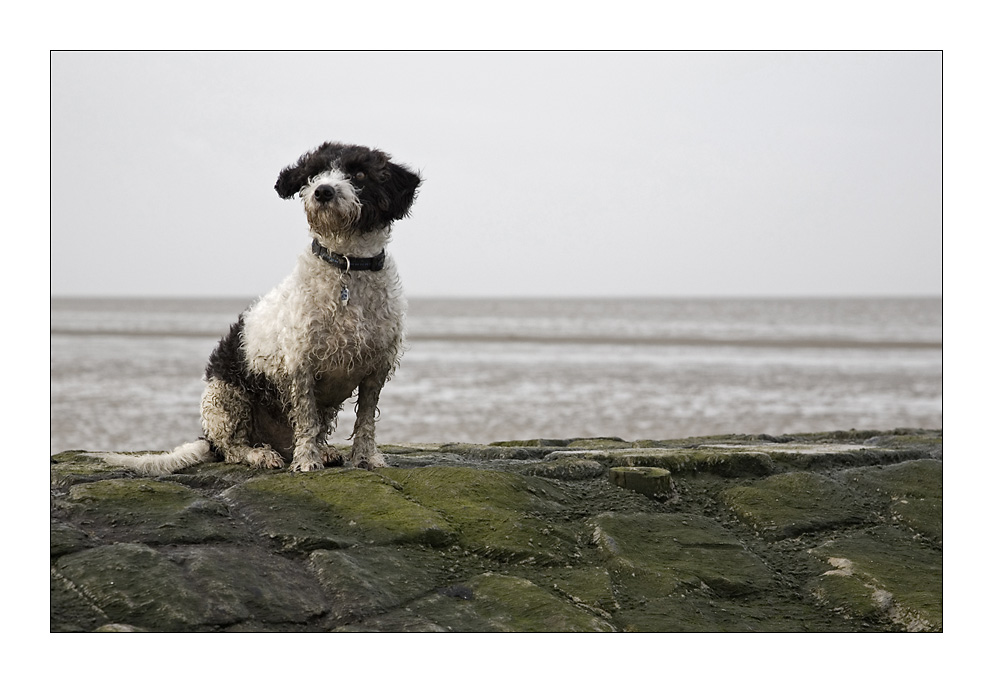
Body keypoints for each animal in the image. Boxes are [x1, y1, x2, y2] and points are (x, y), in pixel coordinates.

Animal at [94, 143, 418, 476]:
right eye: (314, 173)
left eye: (360, 174)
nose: (323, 191)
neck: (348, 266)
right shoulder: (300, 366)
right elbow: (306, 419)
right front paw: (307, 461)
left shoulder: (376, 369)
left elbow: (365, 419)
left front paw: (366, 458)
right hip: (228, 398)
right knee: (232, 449)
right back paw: (261, 455)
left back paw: (320, 451)